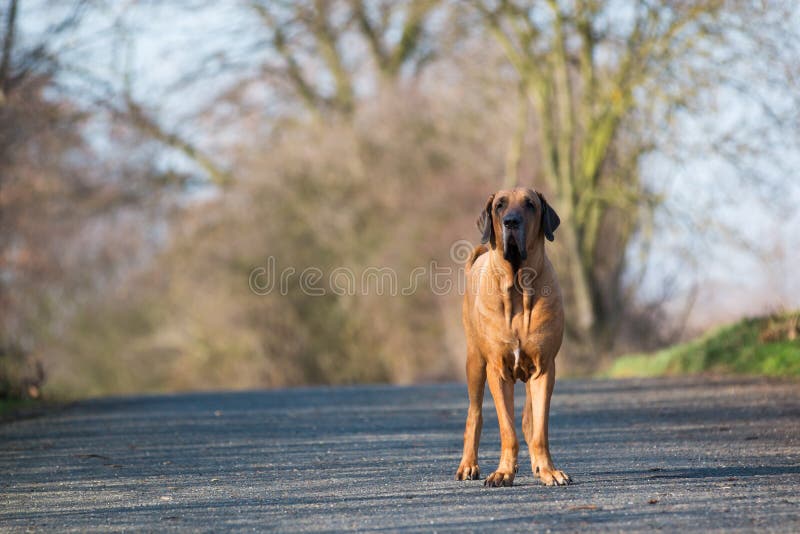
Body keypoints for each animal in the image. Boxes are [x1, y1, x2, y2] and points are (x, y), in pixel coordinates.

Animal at [454, 188, 572, 490]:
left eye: (530, 204)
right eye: (499, 205)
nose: (510, 222)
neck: (518, 288)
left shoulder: (544, 368)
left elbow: (539, 429)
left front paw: (549, 471)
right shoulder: (498, 370)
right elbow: (507, 429)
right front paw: (503, 472)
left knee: (530, 420)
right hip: (474, 362)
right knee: (474, 413)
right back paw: (468, 465)